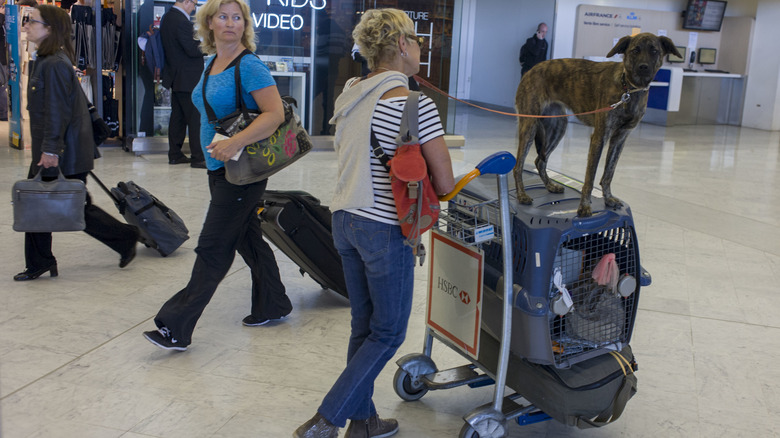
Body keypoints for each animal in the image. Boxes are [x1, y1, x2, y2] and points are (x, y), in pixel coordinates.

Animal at [516, 33, 680, 216]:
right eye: (635, 50)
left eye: (654, 51)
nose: (643, 67)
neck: (628, 89)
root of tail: (530, 71)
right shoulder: (599, 137)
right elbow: (590, 176)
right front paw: (584, 206)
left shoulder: (620, 138)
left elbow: (608, 173)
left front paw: (608, 198)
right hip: (529, 126)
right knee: (518, 166)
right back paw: (522, 195)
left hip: (558, 128)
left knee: (540, 161)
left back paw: (550, 186)